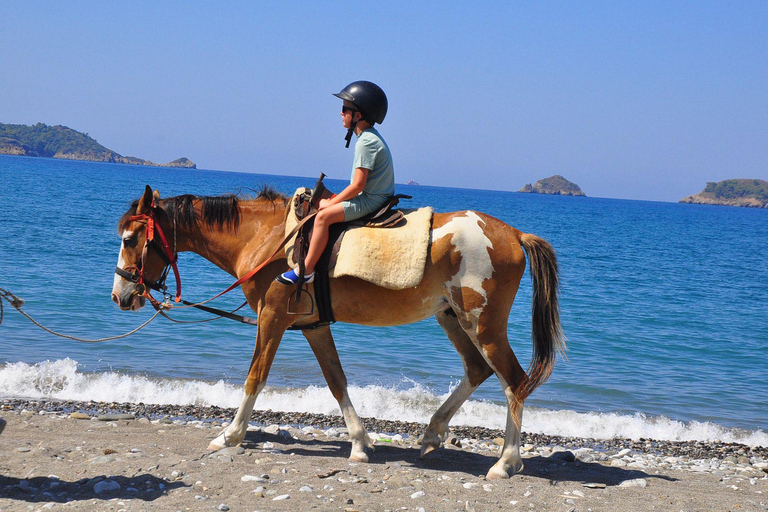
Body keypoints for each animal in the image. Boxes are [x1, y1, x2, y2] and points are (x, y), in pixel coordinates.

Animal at [111, 184, 564, 479]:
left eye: (131, 239)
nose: (121, 295)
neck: (268, 239)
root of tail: (513, 234)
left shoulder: (272, 318)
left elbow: (255, 377)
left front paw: (230, 435)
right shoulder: (313, 326)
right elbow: (336, 380)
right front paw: (361, 444)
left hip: (483, 324)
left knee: (514, 381)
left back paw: (505, 462)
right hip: (453, 318)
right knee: (478, 370)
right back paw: (433, 434)